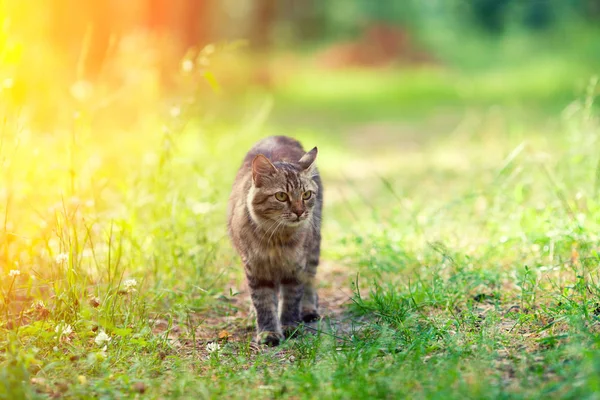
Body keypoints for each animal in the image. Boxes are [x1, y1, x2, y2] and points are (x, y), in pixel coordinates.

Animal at [227, 136, 324, 346]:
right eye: (281, 196)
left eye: (306, 195)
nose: (299, 212)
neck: (277, 239)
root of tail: (278, 136)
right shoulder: (256, 269)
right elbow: (263, 303)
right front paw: (268, 332)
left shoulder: (295, 267)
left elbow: (290, 300)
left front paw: (289, 326)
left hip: (313, 248)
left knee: (310, 283)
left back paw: (308, 309)